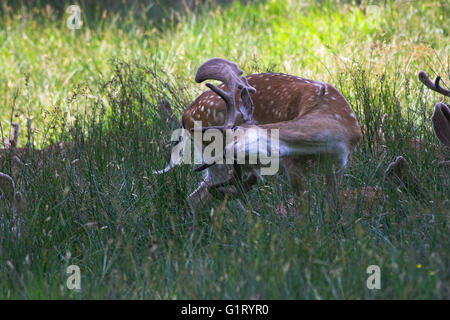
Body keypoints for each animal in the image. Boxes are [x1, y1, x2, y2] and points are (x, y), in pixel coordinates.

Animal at [155, 58, 362, 211]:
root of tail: (186, 114)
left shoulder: (339, 165)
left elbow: (331, 206)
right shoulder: (292, 164)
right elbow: (303, 207)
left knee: (195, 198)